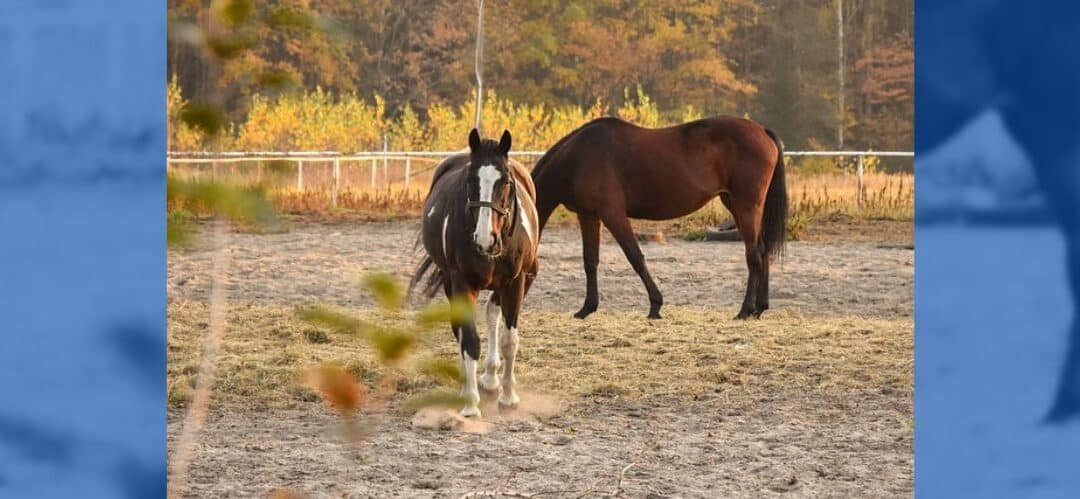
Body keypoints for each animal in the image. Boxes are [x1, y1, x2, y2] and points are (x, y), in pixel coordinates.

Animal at [409, 128, 540, 417]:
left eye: (505, 181)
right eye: (471, 179)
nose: (484, 238)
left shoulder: (515, 283)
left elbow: (509, 340)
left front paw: (508, 398)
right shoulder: (461, 282)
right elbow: (469, 340)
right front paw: (470, 405)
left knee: (493, 314)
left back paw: (492, 381)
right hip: (449, 281)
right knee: (460, 330)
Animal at [530, 116, 787, 320]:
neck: (578, 158)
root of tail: (762, 130)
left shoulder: (612, 214)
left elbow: (635, 257)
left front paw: (655, 305)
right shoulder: (589, 216)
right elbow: (590, 261)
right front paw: (586, 309)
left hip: (746, 206)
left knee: (753, 255)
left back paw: (744, 311)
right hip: (734, 204)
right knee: (762, 250)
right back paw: (759, 309)